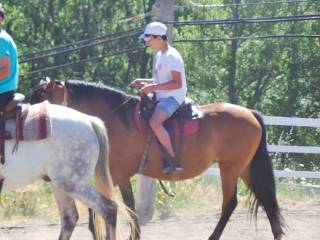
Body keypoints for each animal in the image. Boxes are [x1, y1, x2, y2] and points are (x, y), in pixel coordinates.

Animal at [29, 79, 284, 240]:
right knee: (267, 200)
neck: (115, 120)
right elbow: (115, 210)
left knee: (230, 203)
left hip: (230, 168)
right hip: (245, 168)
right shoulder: (109, 177)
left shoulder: (116, 176)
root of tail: (250, 113)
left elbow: (115, 210)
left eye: (44, 98)